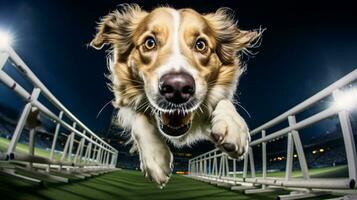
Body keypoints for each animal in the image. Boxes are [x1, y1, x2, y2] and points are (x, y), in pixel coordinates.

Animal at [89, 3, 262, 187]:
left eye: (201, 45)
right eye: (149, 42)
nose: (177, 87)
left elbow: (223, 101)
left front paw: (233, 126)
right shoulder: (125, 103)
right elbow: (139, 118)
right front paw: (156, 157)